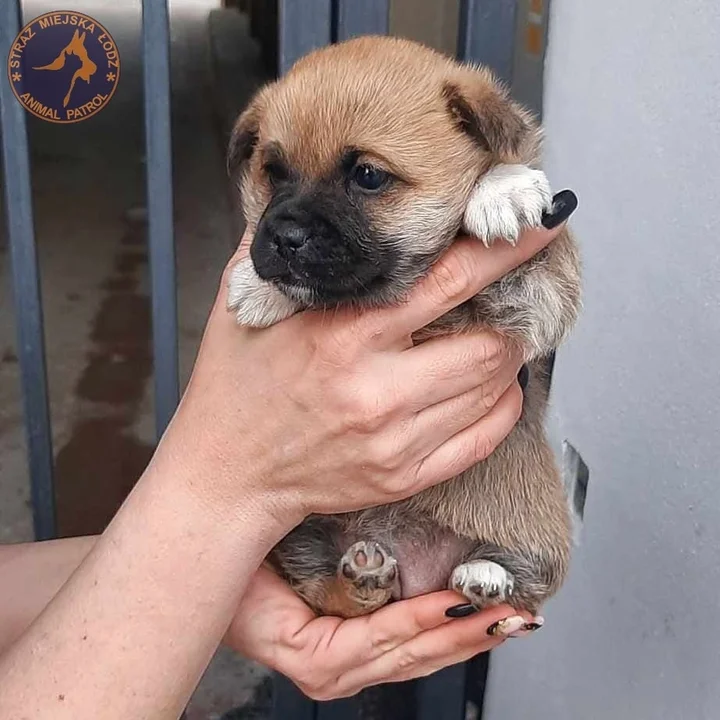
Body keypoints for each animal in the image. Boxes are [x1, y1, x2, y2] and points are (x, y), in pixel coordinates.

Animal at [228, 35, 584, 620]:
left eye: (368, 176)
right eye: (272, 172)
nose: (283, 238)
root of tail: (419, 570)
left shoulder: (541, 297)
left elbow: (543, 249)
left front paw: (502, 188)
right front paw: (257, 287)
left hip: (538, 545)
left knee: (521, 582)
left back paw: (485, 575)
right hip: (299, 532)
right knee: (331, 594)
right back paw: (366, 578)